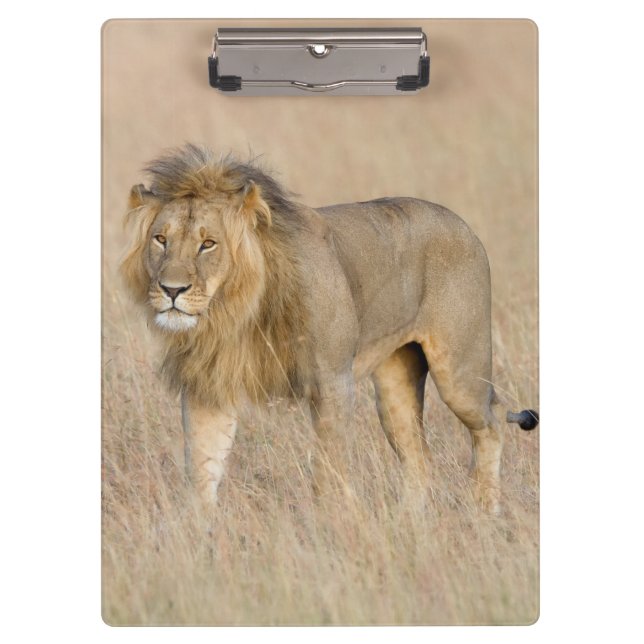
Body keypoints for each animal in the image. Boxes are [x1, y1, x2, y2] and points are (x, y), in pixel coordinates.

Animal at [121, 143, 538, 514]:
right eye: (161, 239)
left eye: (208, 244)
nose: (171, 290)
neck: (236, 310)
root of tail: (461, 223)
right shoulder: (208, 385)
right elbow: (202, 469)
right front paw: (199, 533)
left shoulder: (333, 380)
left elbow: (329, 469)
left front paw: (334, 525)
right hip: (395, 386)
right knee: (419, 456)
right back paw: (411, 521)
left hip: (460, 372)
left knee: (493, 420)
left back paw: (484, 510)